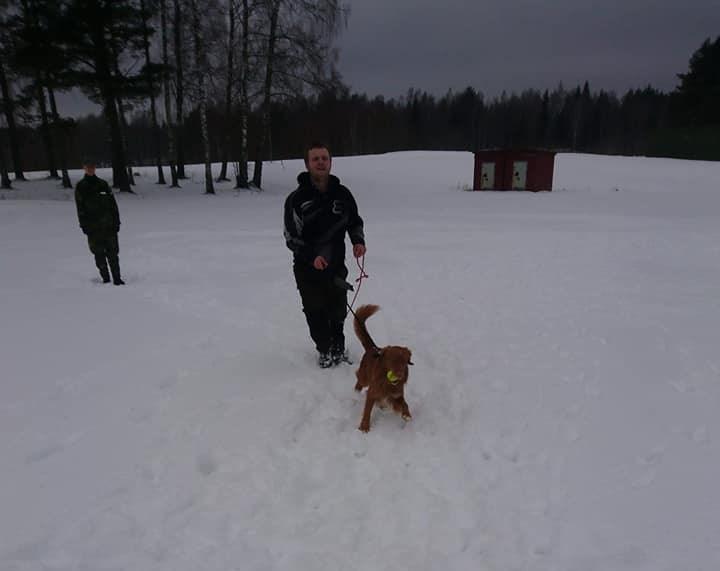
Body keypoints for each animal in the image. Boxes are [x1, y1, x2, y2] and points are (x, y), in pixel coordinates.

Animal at [352, 304, 414, 434]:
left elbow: (404, 404)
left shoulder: (397, 395)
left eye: (404, 361)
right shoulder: (372, 393)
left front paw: (406, 414)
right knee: (359, 380)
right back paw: (356, 393)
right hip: (365, 377)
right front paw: (364, 427)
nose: (399, 374)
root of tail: (373, 348)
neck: (388, 382)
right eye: (391, 360)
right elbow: (367, 411)